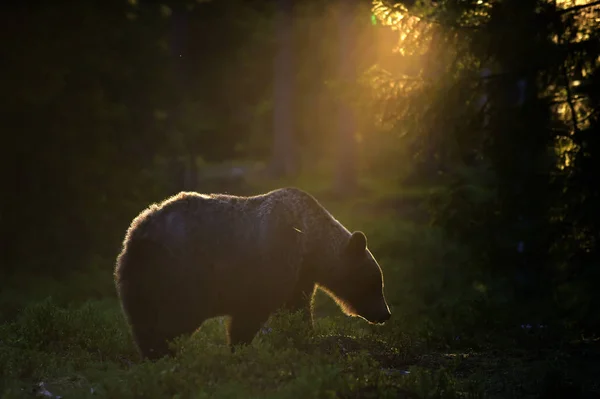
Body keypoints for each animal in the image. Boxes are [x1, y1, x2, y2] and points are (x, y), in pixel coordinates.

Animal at [115, 188, 392, 360]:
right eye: (376, 283)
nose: (385, 313)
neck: (311, 245)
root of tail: (140, 231)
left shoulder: (300, 275)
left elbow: (298, 308)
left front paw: (304, 336)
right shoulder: (273, 259)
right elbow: (252, 312)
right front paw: (240, 346)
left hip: (138, 275)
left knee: (143, 319)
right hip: (180, 269)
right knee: (176, 317)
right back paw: (165, 352)